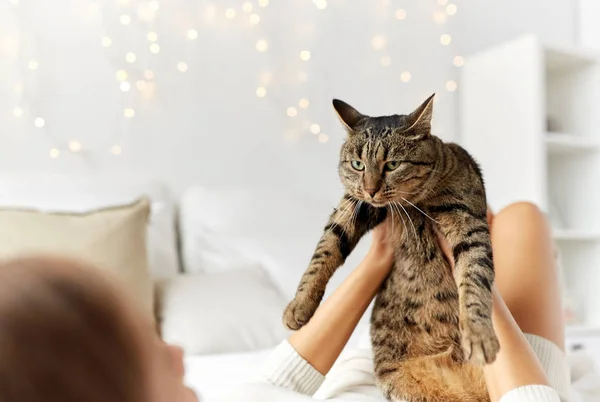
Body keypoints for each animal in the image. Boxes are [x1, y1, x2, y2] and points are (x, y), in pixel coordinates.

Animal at [284, 95, 500, 402]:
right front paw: (299, 305)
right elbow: (324, 251)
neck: (413, 206)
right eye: (357, 164)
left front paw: (479, 334)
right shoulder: (353, 205)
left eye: (393, 164)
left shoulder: (469, 224)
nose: (371, 189)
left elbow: (474, 279)